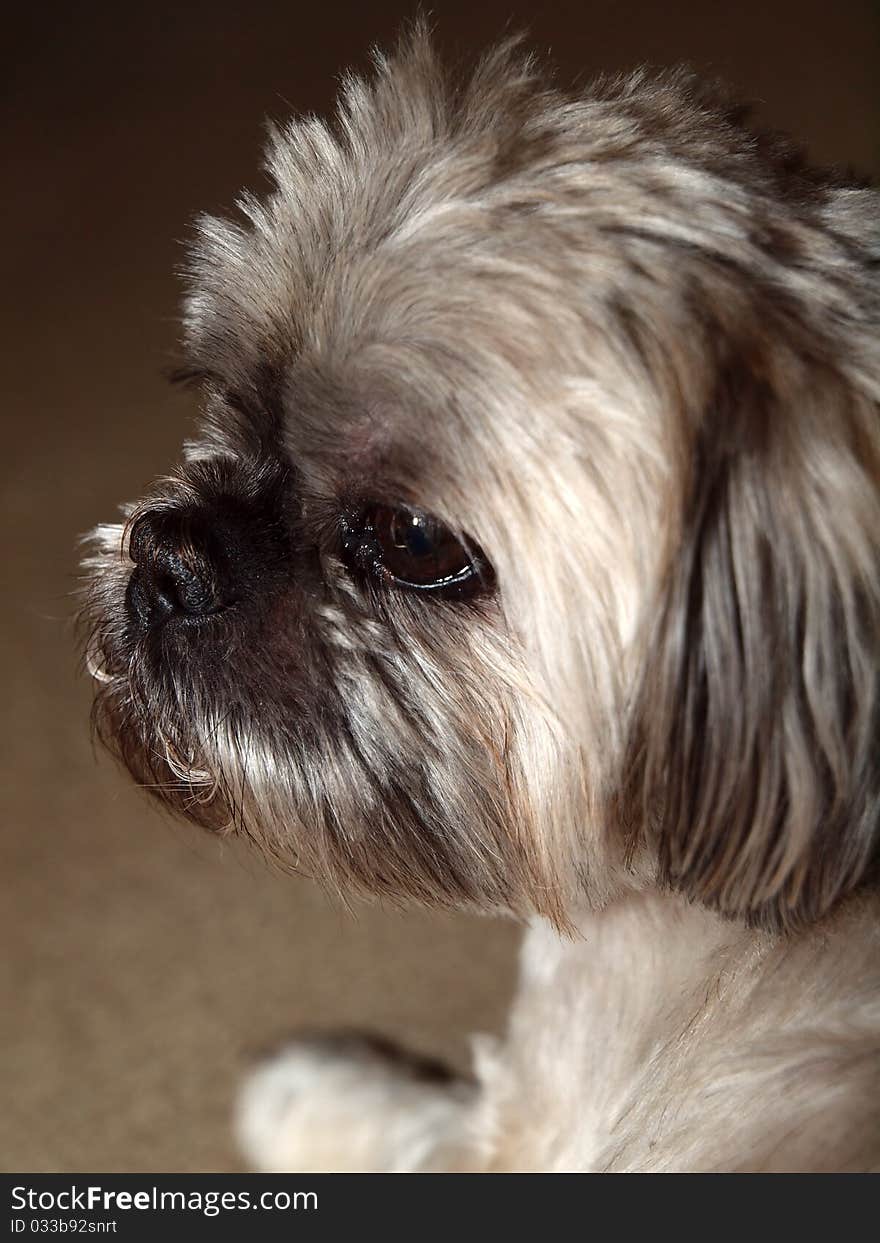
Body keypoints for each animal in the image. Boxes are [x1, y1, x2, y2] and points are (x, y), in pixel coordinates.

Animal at [78, 31, 875, 1173]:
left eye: (416, 543)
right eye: (223, 399)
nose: (170, 556)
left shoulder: (534, 1125)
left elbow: (399, 1124)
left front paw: (301, 1089)